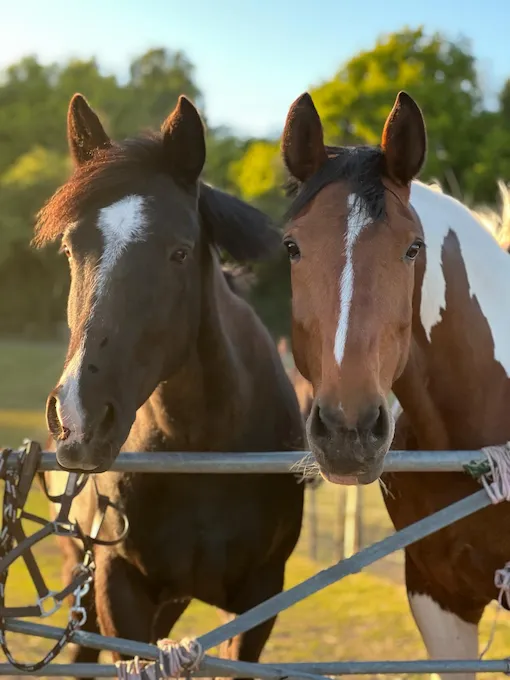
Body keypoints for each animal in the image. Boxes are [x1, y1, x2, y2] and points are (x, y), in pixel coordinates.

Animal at [35, 93, 305, 675]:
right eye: (70, 249)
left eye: (180, 252)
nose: (78, 419)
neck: (201, 448)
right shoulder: (117, 589)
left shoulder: (261, 597)